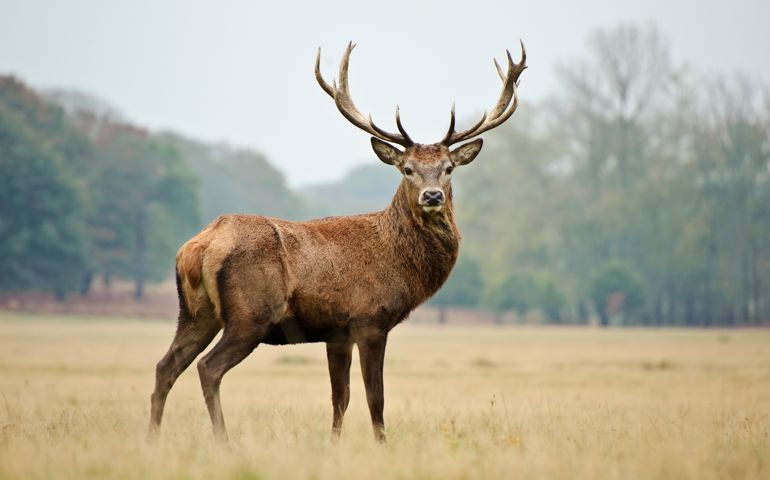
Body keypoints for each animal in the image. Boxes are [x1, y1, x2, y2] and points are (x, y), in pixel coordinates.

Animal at [148, 41, 527, 443]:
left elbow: (339, 398)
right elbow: (375, 397)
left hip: (195, 312)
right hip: (250, 314)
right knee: (208, 367)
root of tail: (199, 246)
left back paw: (152, 438)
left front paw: (334, 444)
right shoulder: (370, 318)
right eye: (407, 169)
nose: (433, 195)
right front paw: (381, 444)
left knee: (165, 366)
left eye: (449, 168)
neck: (399, 262)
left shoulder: (337, 332)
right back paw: (223, 441)